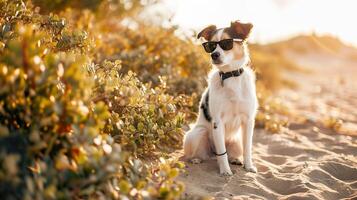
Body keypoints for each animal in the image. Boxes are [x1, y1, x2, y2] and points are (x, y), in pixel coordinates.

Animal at [182, 20, 258, 175]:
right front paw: (225, 171)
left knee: (231, 152)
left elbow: (247, 148)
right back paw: (196, 159)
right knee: (203, 153)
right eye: (210, 46)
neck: (230, 76)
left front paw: (248, 166)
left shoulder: (248, 120)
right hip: (197, 133)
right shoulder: (218, 121)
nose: (214, 55)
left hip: (236, 140)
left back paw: (235, 159)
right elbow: (222, 153)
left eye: (226, 43)